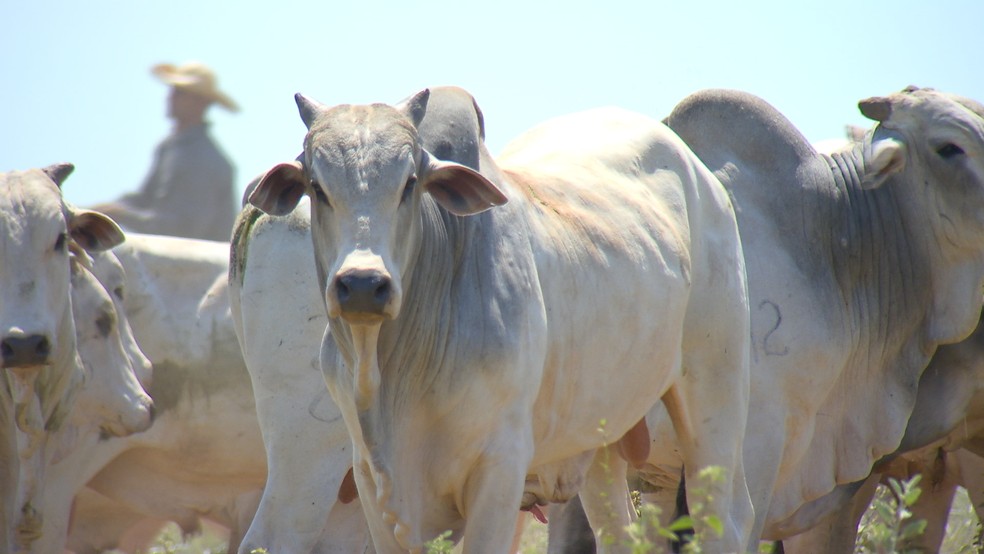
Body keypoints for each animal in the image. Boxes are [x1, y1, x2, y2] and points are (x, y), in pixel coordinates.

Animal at [248, 88, 752, 548]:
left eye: (410, 182)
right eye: (317, 187)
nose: (363, 284)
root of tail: (702, 176)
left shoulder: (500, 467)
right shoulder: (373, 482)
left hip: (715, 393)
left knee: (726, 516)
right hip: (599, 439)